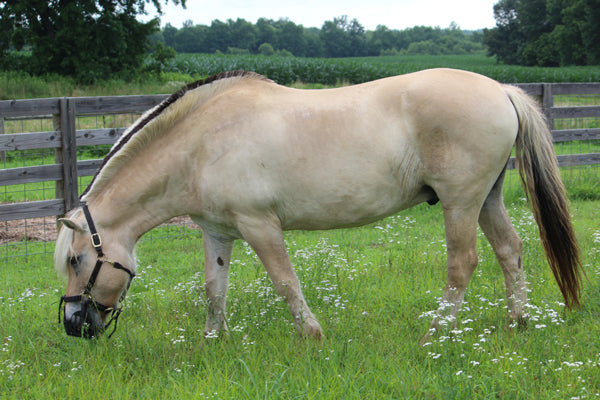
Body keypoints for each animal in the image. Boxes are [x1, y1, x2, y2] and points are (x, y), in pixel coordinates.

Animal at [55, 69, 580, 340]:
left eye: (77, 259)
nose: (73, 324)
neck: (202, 142)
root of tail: (501, 90)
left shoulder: (259, 225)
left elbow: (285, 283)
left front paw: (312, 336)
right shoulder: (217, 231)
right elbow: (213, 289)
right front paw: (212, 342)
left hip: (461, 202)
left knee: (463, 263)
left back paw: (438, 331)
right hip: (487, 199)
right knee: (510, 251)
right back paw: (518, 321)